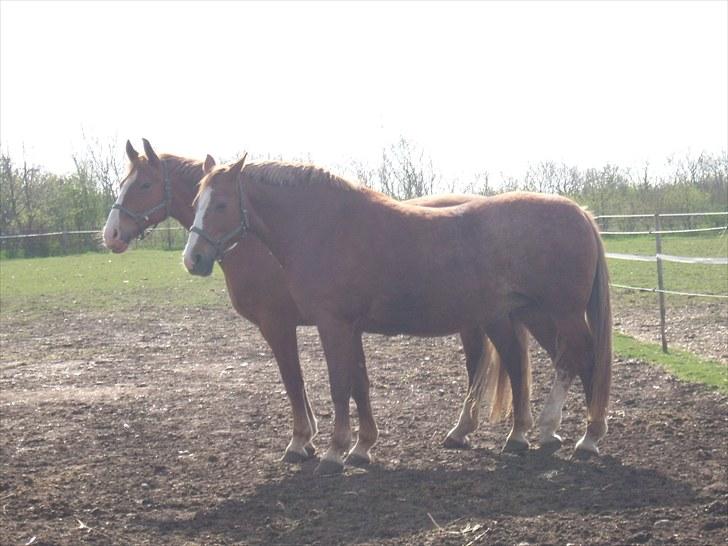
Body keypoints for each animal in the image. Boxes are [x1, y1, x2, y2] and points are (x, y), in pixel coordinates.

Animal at [104, 140, 516, 464]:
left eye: (143, 184)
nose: (111, 235)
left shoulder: (281, 324)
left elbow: (295, 379)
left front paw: (303, 441)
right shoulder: (340, 325)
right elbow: (353, 382)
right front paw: (354, 444)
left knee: (480, 367)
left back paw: (467, 429)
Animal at [185, 153, 612, 472]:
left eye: (221, 204)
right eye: (195, 204)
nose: (193, 259)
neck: (326, 227)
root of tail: (581, 213)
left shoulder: (332, 325)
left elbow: (339, 386)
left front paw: (334, 452)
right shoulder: (350, 328)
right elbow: (359, 384)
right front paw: (361, 448)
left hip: (561, 313)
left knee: (578, 358)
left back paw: (577, 435)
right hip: (532, 314)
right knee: (559, 361)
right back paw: (541, 435)